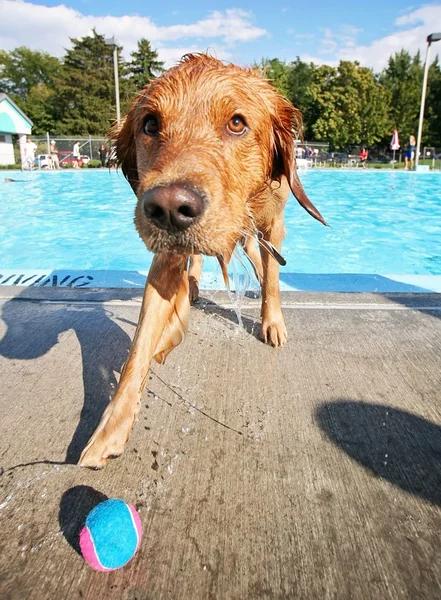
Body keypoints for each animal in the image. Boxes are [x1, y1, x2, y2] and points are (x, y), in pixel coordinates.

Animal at [78, 52, 324, 468]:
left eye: (237, 123)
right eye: (150, 124)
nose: (168, 209)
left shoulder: (272, 224)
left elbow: (273, 277)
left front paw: (271, 320)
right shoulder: (164, 258)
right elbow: (139, 347)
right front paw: (109, 431)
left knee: (257, 257)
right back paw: (193, 285)